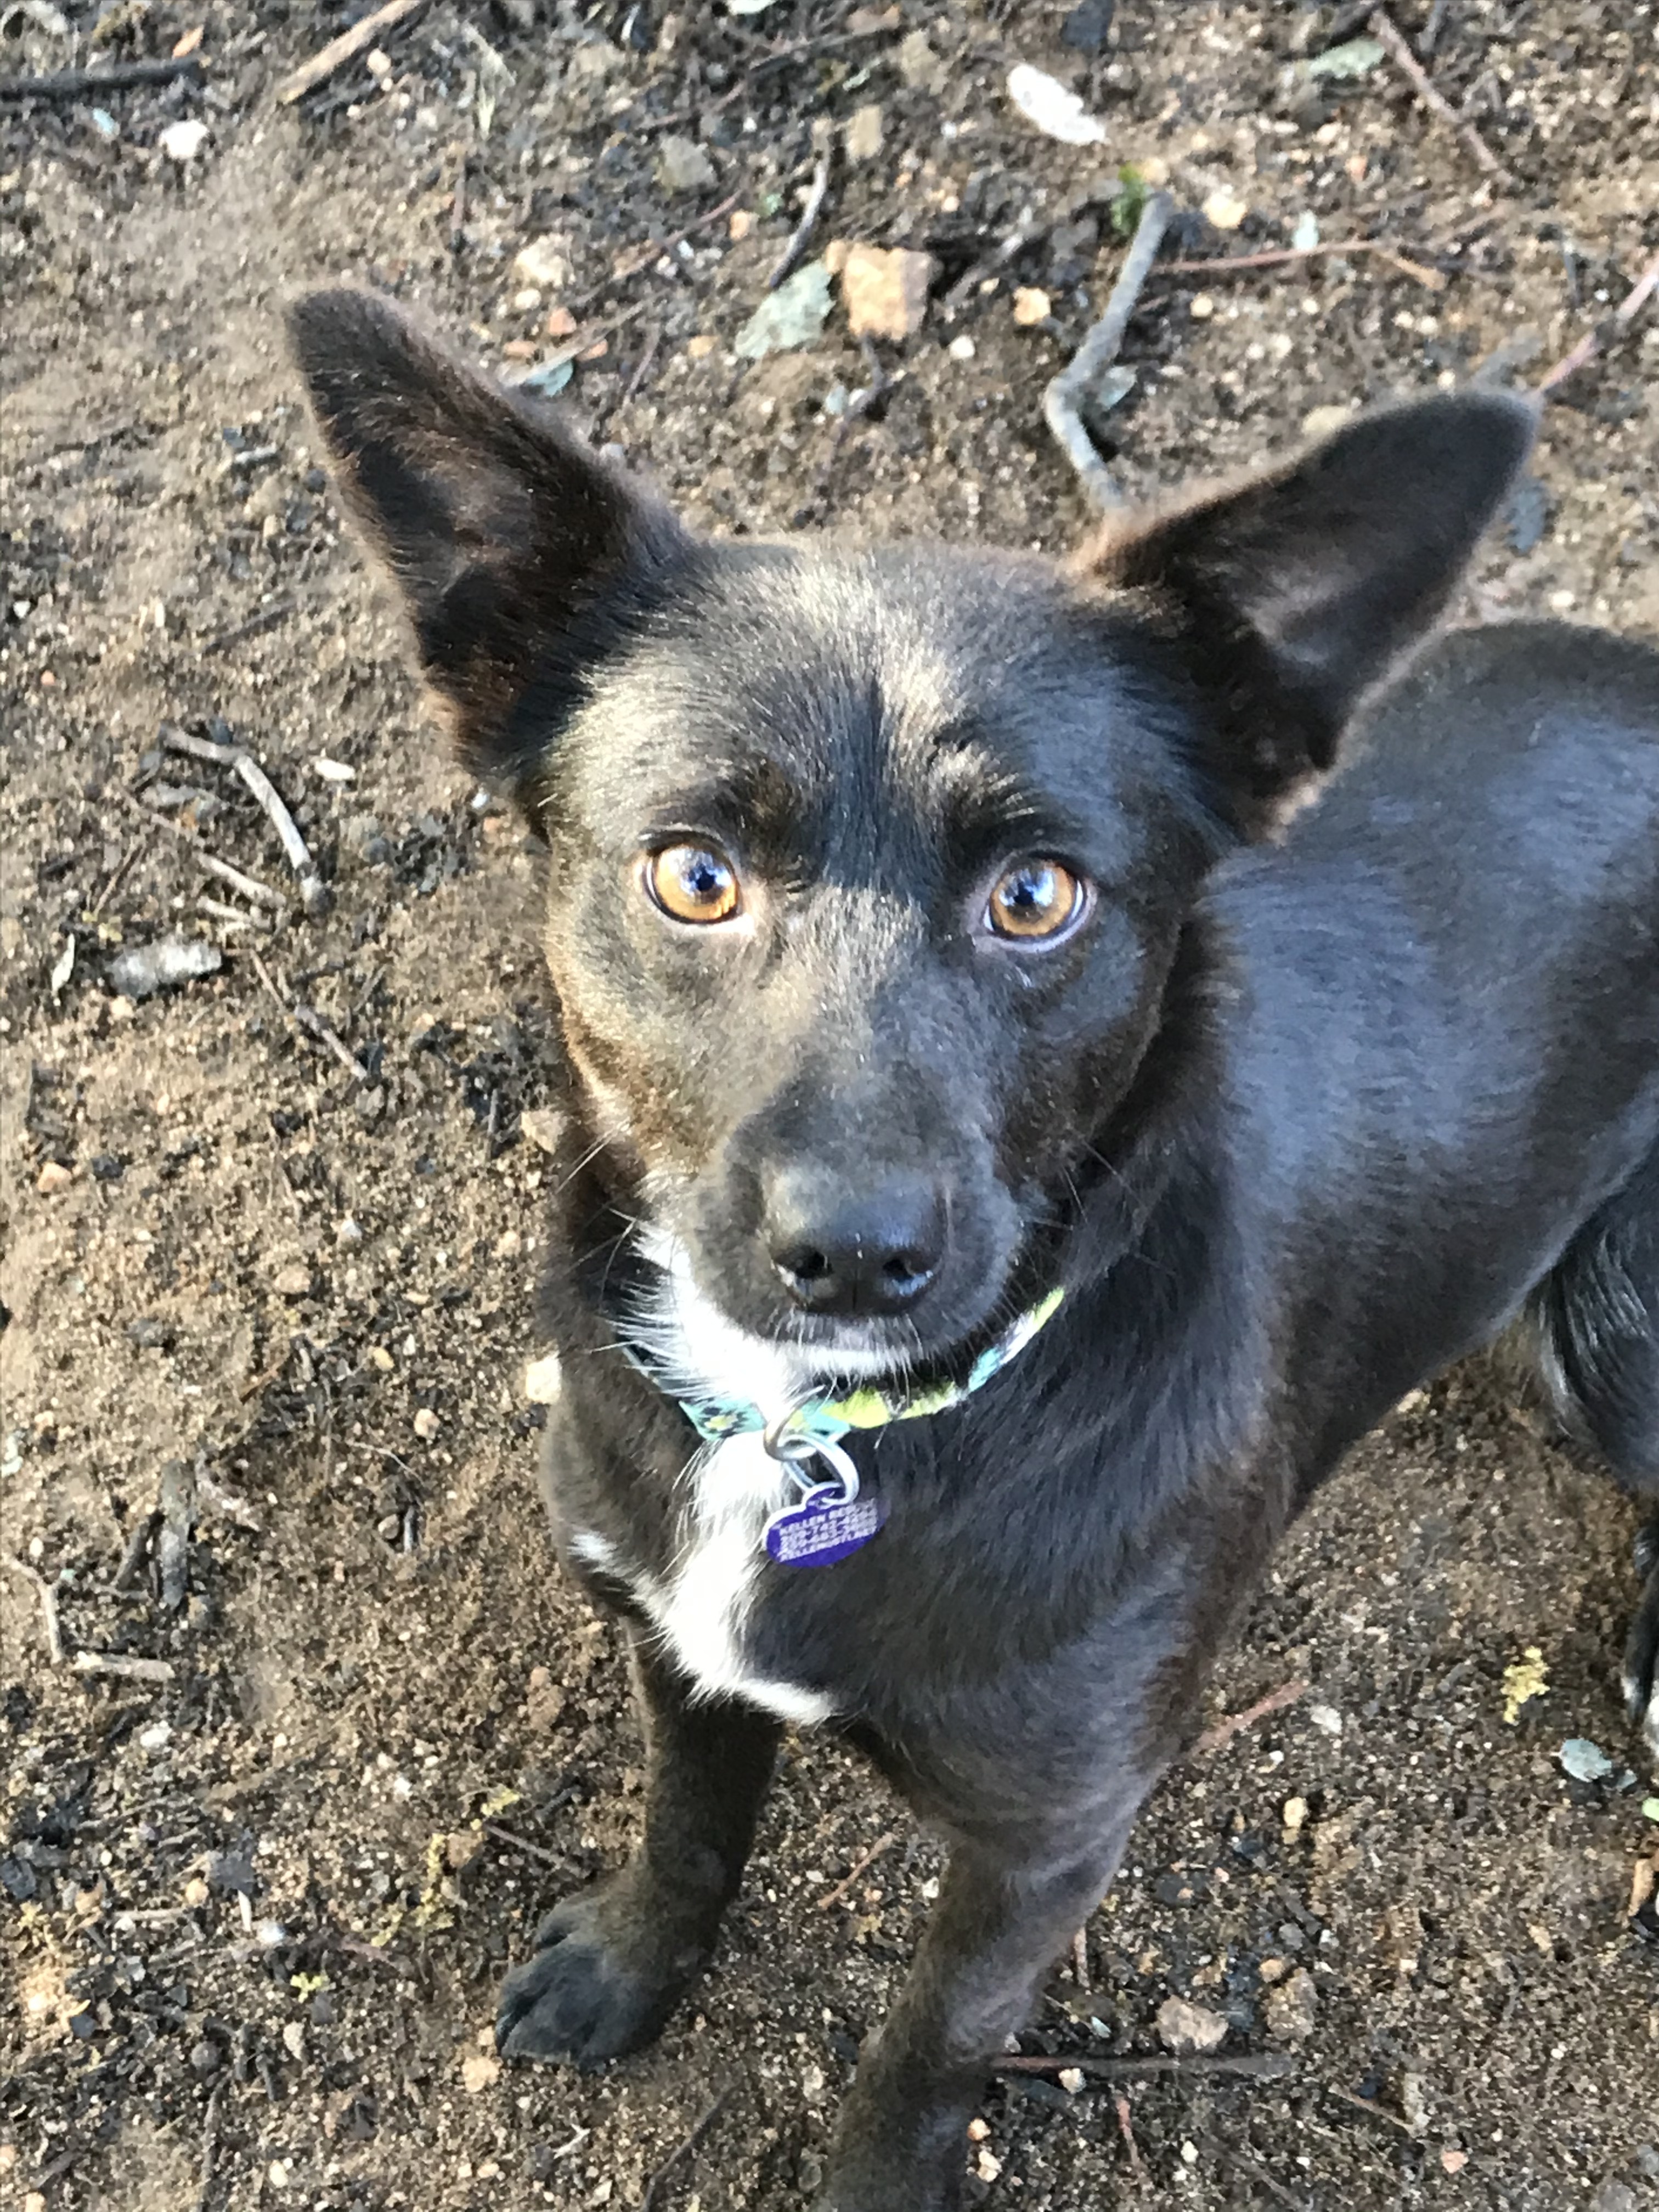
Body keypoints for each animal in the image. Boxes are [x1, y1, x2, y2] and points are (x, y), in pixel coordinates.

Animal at [292, 285, 1659, 2203]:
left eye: (1036, 896)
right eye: (693, 875)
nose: (854, 1255)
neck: (817, 1431)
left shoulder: (1047, 1840)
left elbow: (927, 2046)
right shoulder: (674, 1649)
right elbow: (685, 1831)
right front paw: (630, 1969)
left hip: (1622, 1341)